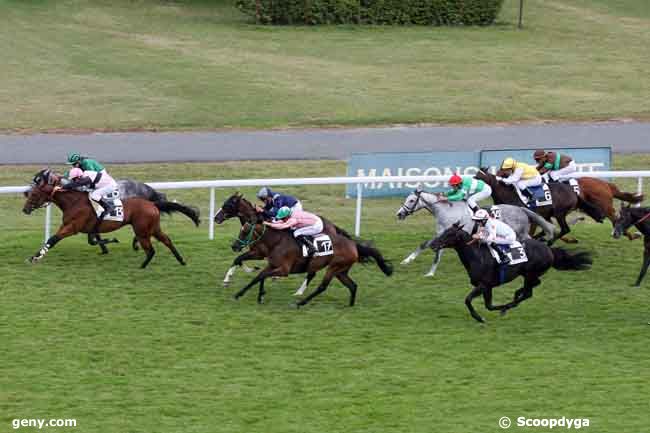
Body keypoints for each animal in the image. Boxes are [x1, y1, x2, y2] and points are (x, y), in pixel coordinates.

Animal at [22, 169, 200, 266]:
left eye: (35, 192)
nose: (25, 209)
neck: (74, 202)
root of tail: (152, 202)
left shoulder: (72, 227)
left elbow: (52, 239)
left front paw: (35, 257)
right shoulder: (88, 228)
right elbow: (93, 240)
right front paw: (108, 244)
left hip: (143, 228)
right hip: (153, 227)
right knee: (166, 240)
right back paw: (180, 260)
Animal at [229, 219, 390, 308]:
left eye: (244, 232)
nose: (234, 246)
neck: (277, 242)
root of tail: (353, 245)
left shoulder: (284, 270)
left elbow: (261, 276)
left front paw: (256, 295)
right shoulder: (273, 265)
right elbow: (259, 277)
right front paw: (248, 295)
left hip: (333, 267)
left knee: (322, 286)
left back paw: (300, 303)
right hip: (341, 271)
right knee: (353, 285)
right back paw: (350, 305)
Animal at [394, 186, 552, 276]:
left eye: (411, 200)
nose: (399, 214)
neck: (446, 211)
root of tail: (521, 209)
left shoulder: (448, 233)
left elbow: (432, 249)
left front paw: (424, 269)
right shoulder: (441, 234)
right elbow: (429, 247)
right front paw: (412, 263)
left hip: (520, 233)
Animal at [428, 223, 588, 320]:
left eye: (449, 234)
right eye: (444, 231)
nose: (433, 244)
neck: (477, 256)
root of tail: (549, 249)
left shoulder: (484, 285)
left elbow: (469, 300)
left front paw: (481, 318)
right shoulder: (487, 287)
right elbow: (488, 305)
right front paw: (495, 310)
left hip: (530, 273)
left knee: (529, 292)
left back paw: (512, 302)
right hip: (528, 273)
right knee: (533, 285)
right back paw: (516, 296)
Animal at [470, 168, 604, 245]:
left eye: (480, 176)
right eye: (475, 174)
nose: (471, 182)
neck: (508, 194)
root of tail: (573, 192)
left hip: (559, 213)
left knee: (564, 229)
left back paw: (549, 241)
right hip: (550, 214)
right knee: (551, 228)